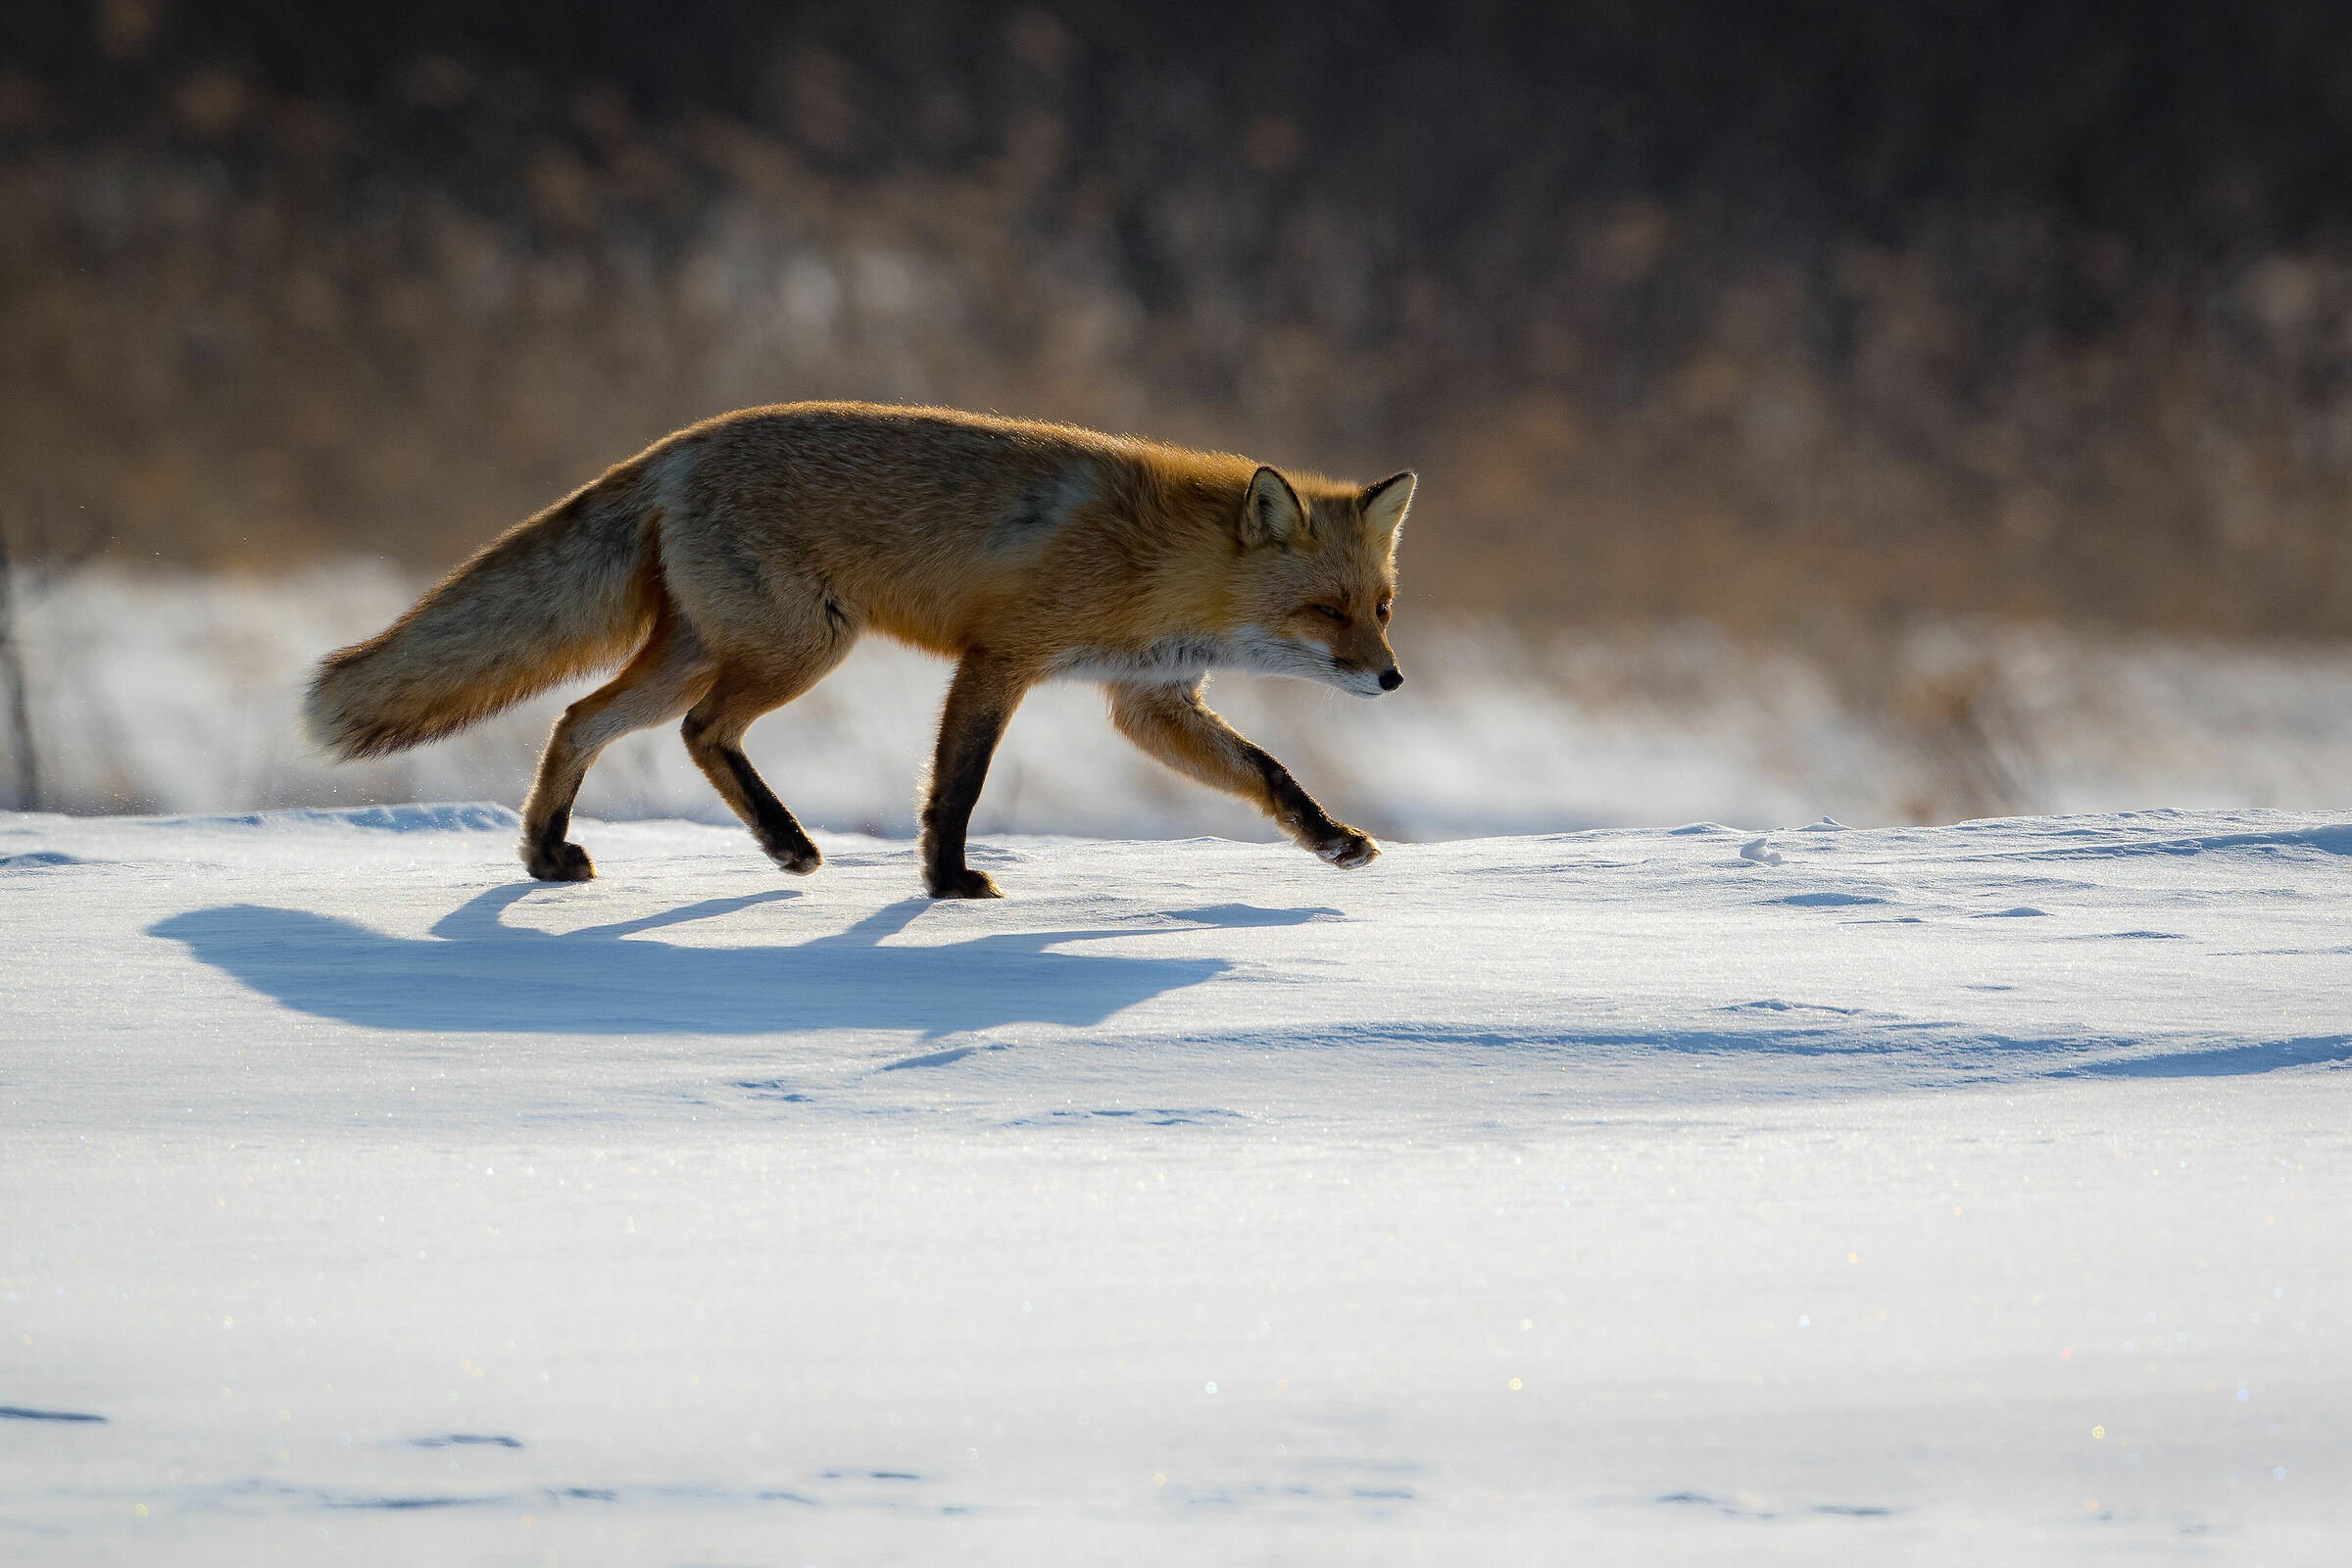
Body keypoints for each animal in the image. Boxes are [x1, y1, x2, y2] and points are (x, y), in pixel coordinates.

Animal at [304, 401, 1415, 898]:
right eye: (1326, 611)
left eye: (1382, 607)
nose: (1393, 677)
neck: (1161, 562)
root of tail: (679, 444)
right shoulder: (999, 659)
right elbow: (957, 788)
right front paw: (948, 885)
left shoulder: (1152, 703)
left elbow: (1269, 773)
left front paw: (1331, 841)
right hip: (798, 649)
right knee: (700, 731)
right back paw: (785, 841)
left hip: (705, 651)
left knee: (582, 719)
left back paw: (545, 854)